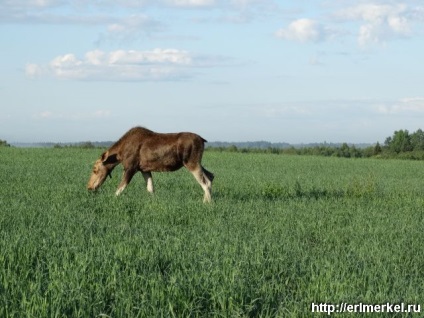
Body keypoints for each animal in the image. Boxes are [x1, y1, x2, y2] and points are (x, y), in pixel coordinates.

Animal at [86, 126, 214, 201]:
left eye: (95, 169)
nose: (89, 187)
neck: (119, 155)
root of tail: (203, 140)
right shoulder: (144, 169)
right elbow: (150, 188)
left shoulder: (130, 167)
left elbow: (120, 188)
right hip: (196, 162)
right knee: (211, 176)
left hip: (191, 162)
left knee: (205, 182)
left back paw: (206, 203)